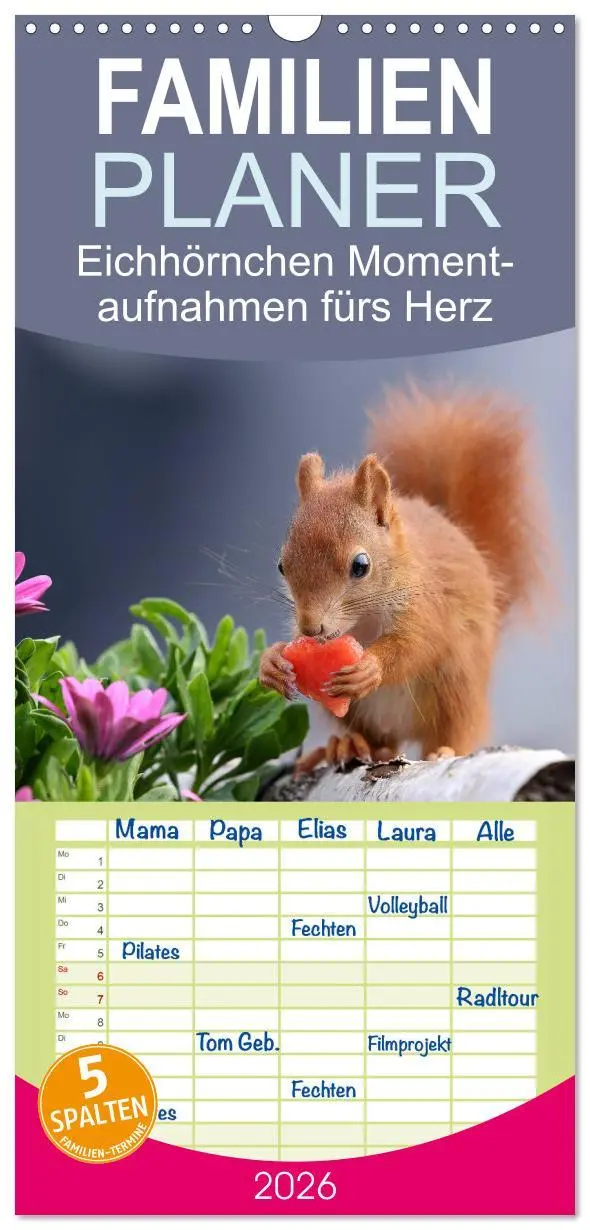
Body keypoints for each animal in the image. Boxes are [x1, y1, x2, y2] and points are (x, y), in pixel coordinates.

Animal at [259, 386, 547, 770]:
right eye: (281, 565)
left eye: (360, 565)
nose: (311, 629)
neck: (363, 621)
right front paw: (272, 661)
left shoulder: (427, 606)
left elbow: (418, 643)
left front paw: (370, 666)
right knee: (380, 741)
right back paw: (348, 745)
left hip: (457, 688)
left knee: (454, 731)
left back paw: (443, 751)